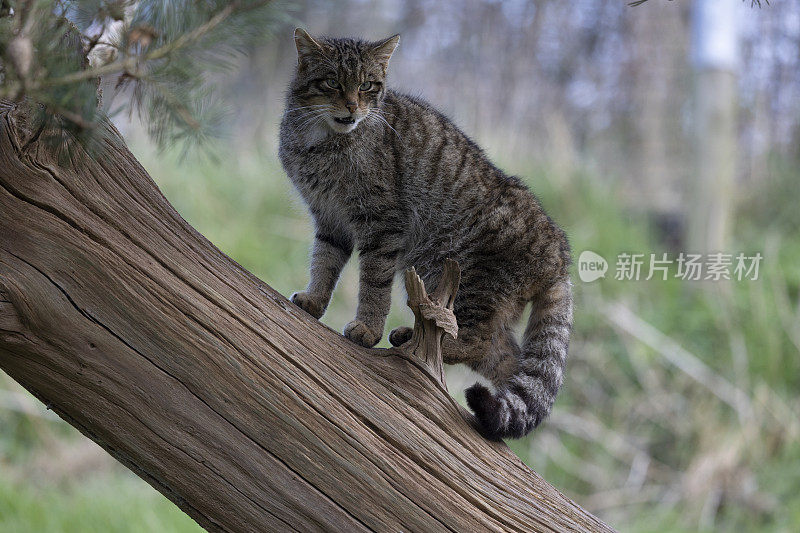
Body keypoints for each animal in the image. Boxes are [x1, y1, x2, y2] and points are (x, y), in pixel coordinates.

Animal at [278, 27, 572, 438]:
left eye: (368, 85)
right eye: (333, 82)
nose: (352, 108)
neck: (319, 141)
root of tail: (559, 250)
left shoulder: (381, 224)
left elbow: (374, 284)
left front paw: (367, 329)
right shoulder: (330, 220)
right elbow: (324, 263)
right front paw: (315, 301)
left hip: (455, 273)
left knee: (474, 340)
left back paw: (409, 340)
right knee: (507, 360)